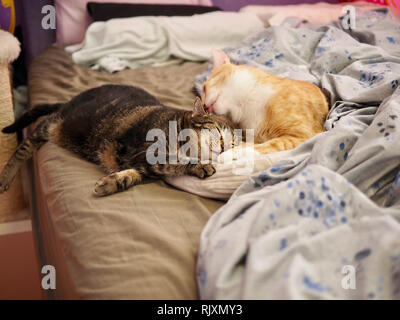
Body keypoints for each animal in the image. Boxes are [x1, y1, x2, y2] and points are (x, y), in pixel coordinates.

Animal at [0, 84, 234, 196]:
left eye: (232, 145)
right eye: (218, 132)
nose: (224, 148)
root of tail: (69, 101)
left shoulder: (140, 164)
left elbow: (133, 176)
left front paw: (110, 183)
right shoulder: (145, 152)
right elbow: (174, 161)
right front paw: (201, 165)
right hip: (51, 125)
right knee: (25, 146)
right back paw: (5, 178)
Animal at [200, 48, 328, 158]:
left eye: (204, 88)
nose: (204, 107)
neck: (247, 104)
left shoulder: (304, 136)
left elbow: (268, 145)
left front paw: (228, 156)